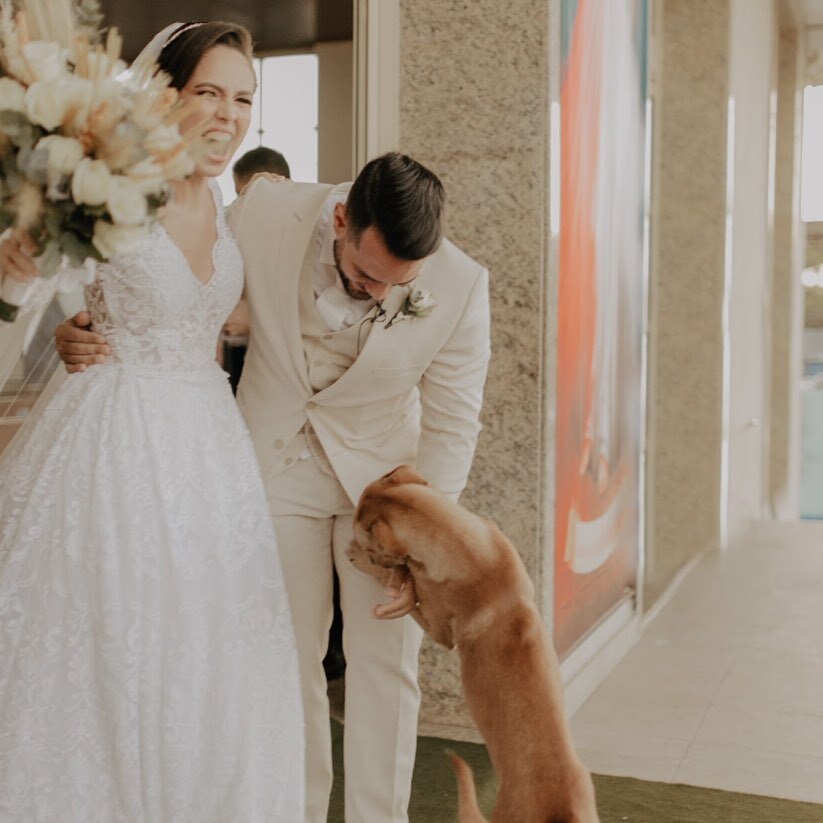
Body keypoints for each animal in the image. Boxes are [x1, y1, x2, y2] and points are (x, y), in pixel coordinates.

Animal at [348, 466, 600, 820]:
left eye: (369, 548)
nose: (349, 549)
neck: (472, 552)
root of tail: (561, 812)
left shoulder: (439, 628)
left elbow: (409, 586)